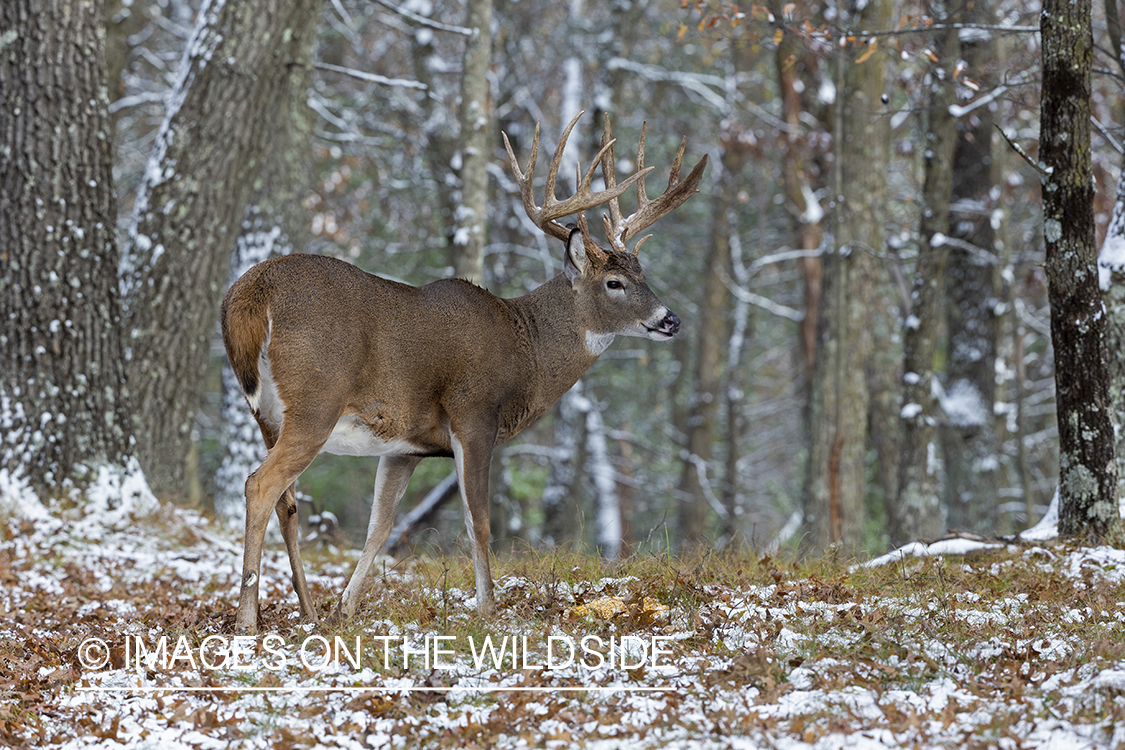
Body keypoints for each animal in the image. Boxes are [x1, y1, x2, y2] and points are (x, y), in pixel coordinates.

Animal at [221, 110, 702, 634]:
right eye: (614, 283)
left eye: (643, 274)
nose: (671, 320)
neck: (525, 347)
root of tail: (251, 293)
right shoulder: (474, 416)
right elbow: (479, 521)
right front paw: (488, 608)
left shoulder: (404, 446)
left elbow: (379, 527)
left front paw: (344, 610)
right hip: (316, 401)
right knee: (259, 485)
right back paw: (246, 618)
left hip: (267, 413)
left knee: (286, 501)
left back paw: (306, 610)